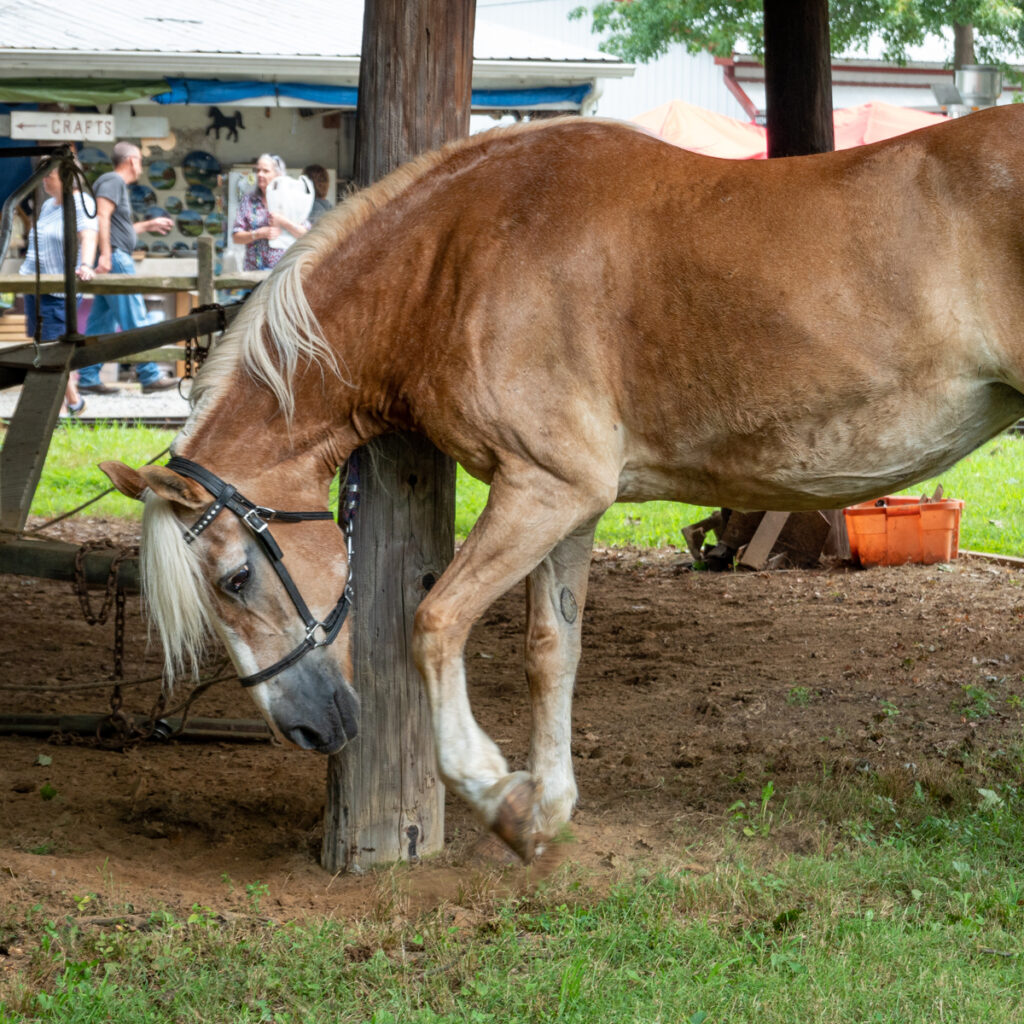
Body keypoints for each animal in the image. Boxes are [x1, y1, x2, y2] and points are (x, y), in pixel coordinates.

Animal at [99, 110, 1024, 864]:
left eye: (235, 578)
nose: (306, 728)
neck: (454, 262)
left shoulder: (546, 490)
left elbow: (435, 623)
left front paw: (497, 793)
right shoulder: (569, 508)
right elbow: (553, 650)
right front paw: (548, 806)